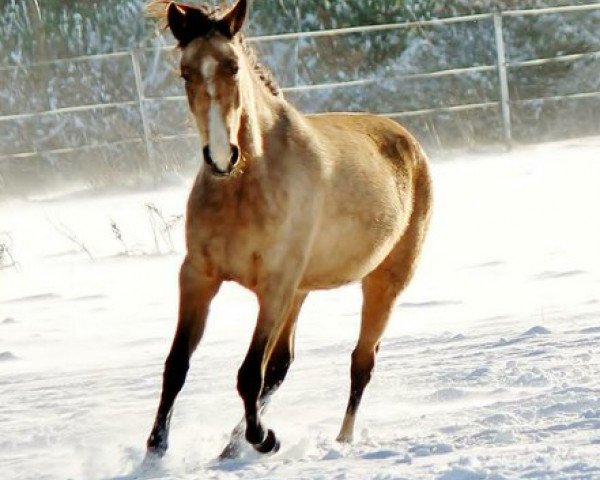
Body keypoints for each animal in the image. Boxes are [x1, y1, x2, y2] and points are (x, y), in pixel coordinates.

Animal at [145, 0, 432, 460]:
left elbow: (248, 373)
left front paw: (265, 439)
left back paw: (340, 438)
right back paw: (231, 447)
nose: (222, 156)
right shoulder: (198, 277)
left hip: (383, 283)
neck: (247, 185)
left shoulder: (274, 285)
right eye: (185, 73)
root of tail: (407, 139)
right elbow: (177, 365)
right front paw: (154, 450)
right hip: (300, 291)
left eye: (232, 67)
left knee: (361, 362)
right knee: (281, 365)